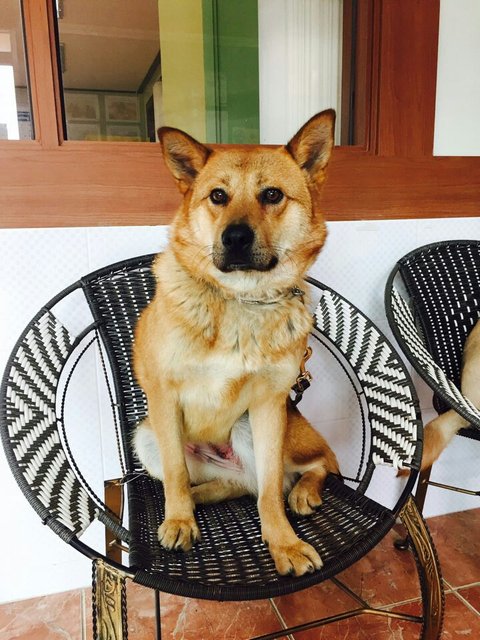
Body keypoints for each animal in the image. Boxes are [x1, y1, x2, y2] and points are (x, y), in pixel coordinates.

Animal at [132, 109, 340, 577]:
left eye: (272, 194)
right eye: (217, 196)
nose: (236, 237)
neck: (241, 299)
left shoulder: (268, 404)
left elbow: (270, 492)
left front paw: (284, 544)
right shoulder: (163, 398)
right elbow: (175, 474)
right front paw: (179, 520)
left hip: (265, 427)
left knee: (312, 466)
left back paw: (303, 491)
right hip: (147, 435)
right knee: (234, 484)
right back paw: (195, 500)